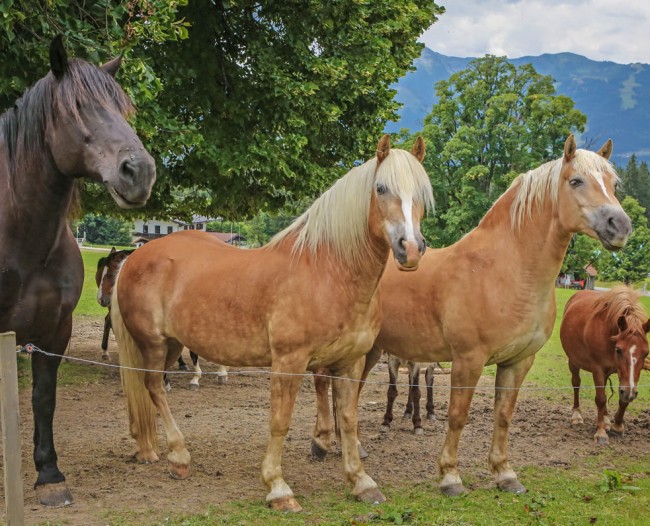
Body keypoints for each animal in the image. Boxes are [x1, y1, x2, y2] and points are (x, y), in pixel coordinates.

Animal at [0, 36, 156, 508]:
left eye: (122, 109)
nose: (139, 172)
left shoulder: (54, 332)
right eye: (78, 107)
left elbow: (43, 399)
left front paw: (50, 475)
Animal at [112, 135, 436, 512]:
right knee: (153, 387)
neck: (327, 272)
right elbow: (280, 422)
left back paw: (153, 449)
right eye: (381, 188)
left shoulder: (350, 363)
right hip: (152, 343)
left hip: (173, 343)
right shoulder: (288, 362)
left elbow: (349, 420)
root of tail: (136, 257)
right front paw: (278, 488)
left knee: (151, 389)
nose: (410, 248)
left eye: (423, 191)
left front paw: (361, 482)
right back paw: (179, 457)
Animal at [312, 136, 632, 500]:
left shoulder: (519, 361)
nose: (620, 226)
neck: (505, 270)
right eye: (576, 181)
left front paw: (505, 474)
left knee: (346, 394)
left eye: (614, 184)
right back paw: (321, 444)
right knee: (323, 383)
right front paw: (450, 477)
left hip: (372, 351)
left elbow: (504, 416)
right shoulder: (468, 359)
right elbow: (457, 416)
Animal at [560, 288, 644, 446]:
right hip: (574, 361)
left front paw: (617, 425)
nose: (630, 393)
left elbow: (621, 398)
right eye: (619, 350)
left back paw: (605, 419)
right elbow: (601, 398)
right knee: (576, 384)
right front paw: (601, 433)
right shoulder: (598, 369)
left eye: (646, 352)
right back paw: (577, 415)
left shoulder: (624, 376)